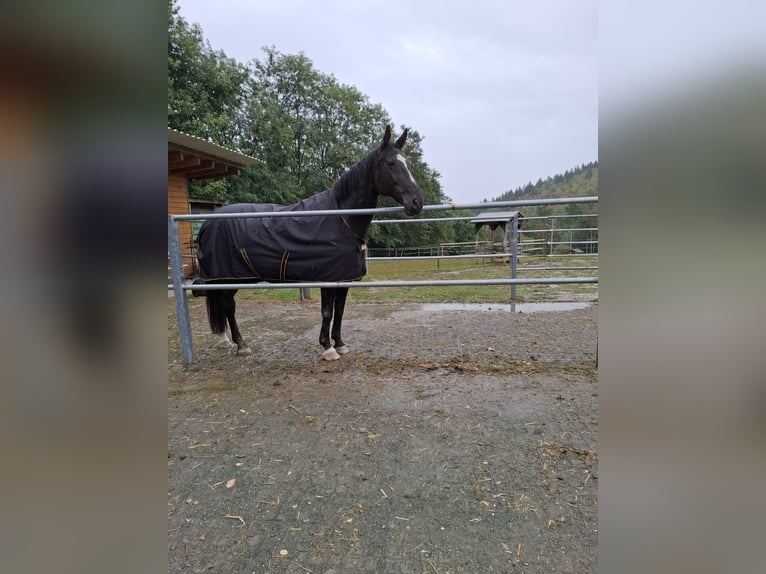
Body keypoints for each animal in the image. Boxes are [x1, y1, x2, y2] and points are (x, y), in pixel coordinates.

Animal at [190, 126, 424, 362]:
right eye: (391, 163)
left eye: (407, 163)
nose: (417, 202)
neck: (341, 219)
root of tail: (208, 222)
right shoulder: (327, 279)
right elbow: (327, 312)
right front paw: (328, 348)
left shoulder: (344, 279)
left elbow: (340, 310)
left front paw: (340, 344)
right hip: (229, 277)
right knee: (228, 305)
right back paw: (240, 344)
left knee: (225, 304)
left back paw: (227, 341)